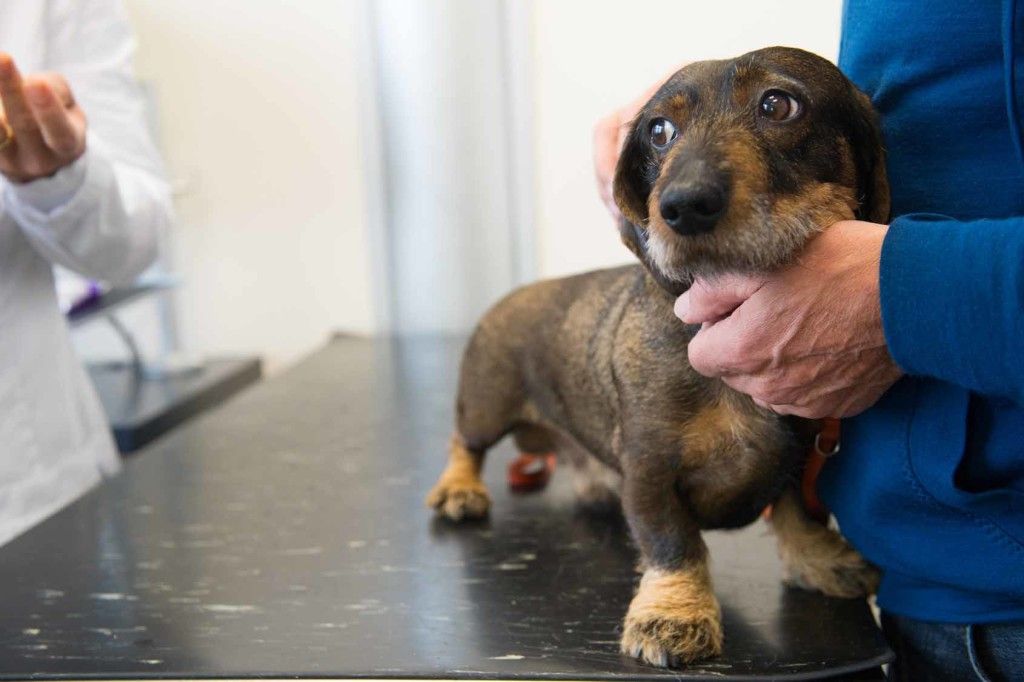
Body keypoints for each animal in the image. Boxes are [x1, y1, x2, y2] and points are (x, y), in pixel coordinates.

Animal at [425, 47, 888, 663]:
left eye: (778, 104)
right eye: (659, 131)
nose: (683, 205)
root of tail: (511, 296)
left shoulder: (798, 450)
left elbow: (793, 508)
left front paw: (817, 557)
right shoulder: (649, 468)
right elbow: (673, 543)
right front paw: (673, 612)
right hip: (486, 404)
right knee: (464, 443)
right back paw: (460, 489)